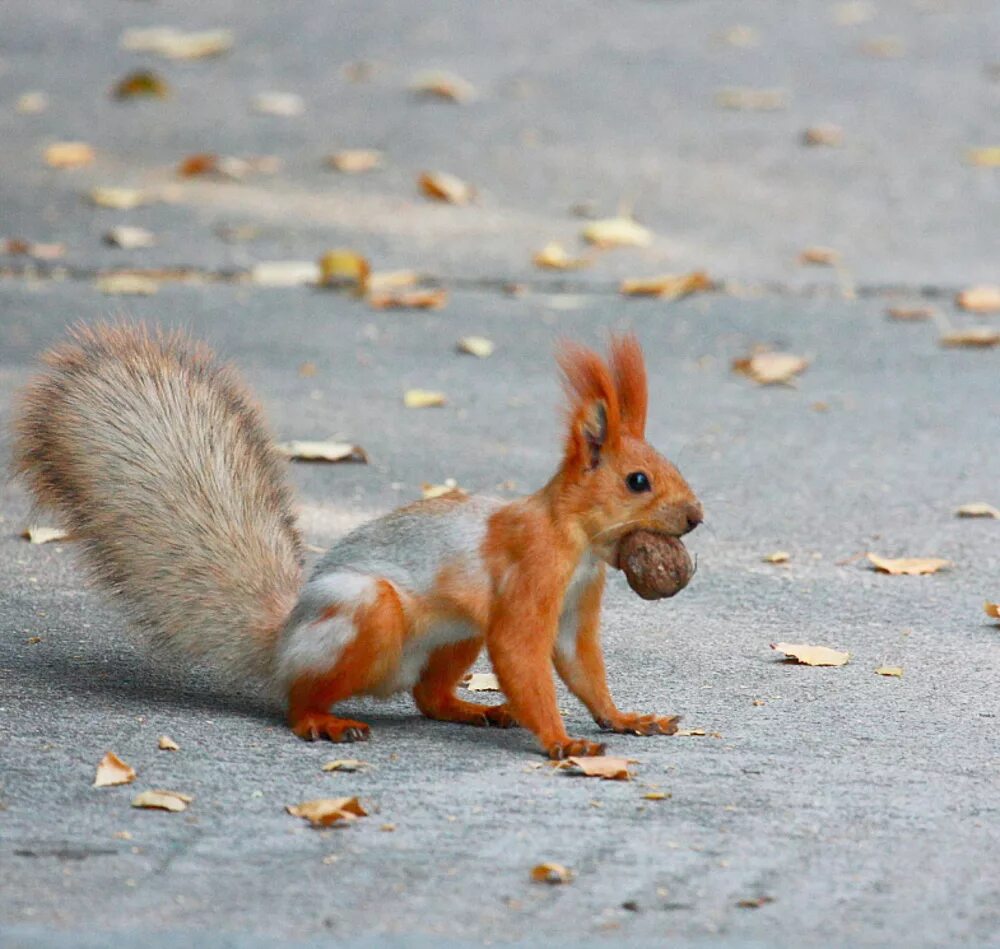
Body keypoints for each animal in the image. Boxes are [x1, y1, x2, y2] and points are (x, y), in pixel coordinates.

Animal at [13, 322, 704, 760]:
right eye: (637, 480)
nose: (696, 517)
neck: (576, 541)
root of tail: (280, 643)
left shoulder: (577, 599)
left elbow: (578, 662)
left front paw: (625, 719)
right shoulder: (531, 574)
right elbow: (522, 653)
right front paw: (562, 742)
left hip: (454, 633)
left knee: (427, 697)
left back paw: (472, 709)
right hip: (364, 613)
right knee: (297, 697)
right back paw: (321, 720)